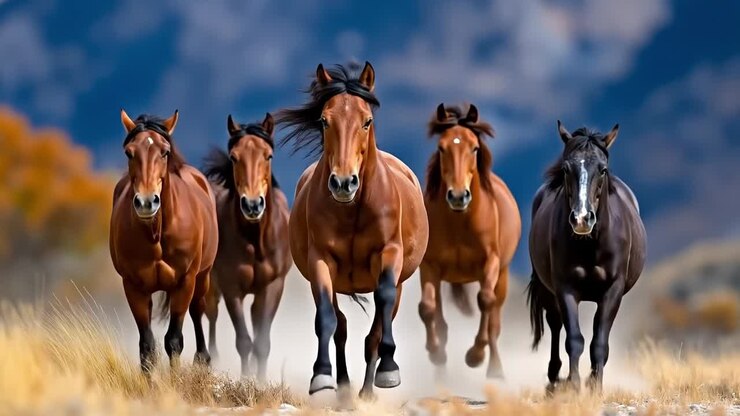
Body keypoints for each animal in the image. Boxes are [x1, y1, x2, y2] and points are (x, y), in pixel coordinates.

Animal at [109, 110, 219, 373]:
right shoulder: (133, 287)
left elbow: (174, 341)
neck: (156, 233)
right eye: (129, 152)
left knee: (198, 310)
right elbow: (147, 347)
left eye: (165, 151)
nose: (146, 202)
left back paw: (203, 360)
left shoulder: (184, 282)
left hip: (202, 277)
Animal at [203, 113, 292, 381]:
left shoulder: (273, 286)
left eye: (268, 155)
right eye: (234, 157)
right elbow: (243, 341)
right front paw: (244, 382)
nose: (252, 205)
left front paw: (260, 382)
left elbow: (262, 342)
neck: (255, 240)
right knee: (209, 315)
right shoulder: (232, 289)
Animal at [275, 62, 429, 399]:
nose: (344, 183)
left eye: (366, 121)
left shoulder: (389, 254)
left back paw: (367, 390)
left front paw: (388, 371)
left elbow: (382, 308)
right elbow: (327, 318)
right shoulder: (321, 260)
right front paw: (322, 375)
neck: (353, 210)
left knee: (377, 327)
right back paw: (345, 389)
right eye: (324, 121)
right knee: (341, 327)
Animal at [419, 103, 521, 379]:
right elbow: (427, 309)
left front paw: (475, 355)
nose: (457, 196)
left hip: (502, 276)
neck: (460, 222)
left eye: (474, 148)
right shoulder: (429, 267)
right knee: (441, 320)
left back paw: (495, 370)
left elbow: (485, 301)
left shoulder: (491, 263)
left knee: (494, 319)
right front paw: (434, 353)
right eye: (441, 148)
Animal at [527, 121, 646, 392]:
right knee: (555, 324)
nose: (582, 218)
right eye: (566, 168)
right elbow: (574, 339)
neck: (591, 246)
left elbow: (599, 342)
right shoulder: (565, 288)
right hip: (548, 291)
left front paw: (595, 388)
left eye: (603, 169)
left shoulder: (612, 290)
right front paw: (573, 385)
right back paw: (554, 377)